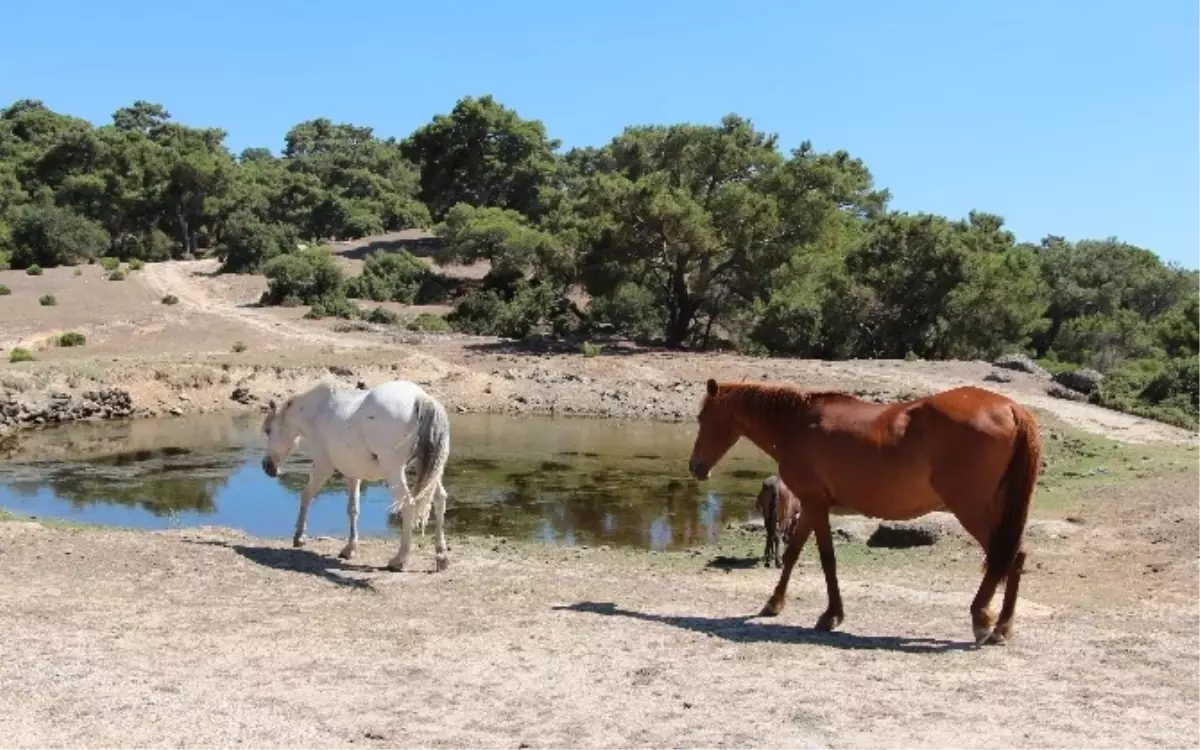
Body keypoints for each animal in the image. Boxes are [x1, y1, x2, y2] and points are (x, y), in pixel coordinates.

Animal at [260, 376, 451, 571]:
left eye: (268, 430)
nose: (267, 466)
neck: (319, 412)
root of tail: (421, 398)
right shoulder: (353, 473)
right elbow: (353, 509)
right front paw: (349, 548)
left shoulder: (323, 465)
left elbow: (306, 495)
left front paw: (299, 537)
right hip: (428, 470)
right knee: (439, 499)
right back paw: (441, 557)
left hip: (394, 471)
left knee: (408, 505)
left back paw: (399, 560)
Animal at [691, 379, 1046, 643]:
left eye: (702, 418)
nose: (696, 467)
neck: (798, 423)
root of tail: (1012, 408)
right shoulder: (812, 504)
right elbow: (793, 554)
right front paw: (774, 603)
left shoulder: (815, 503)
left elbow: (827, 559)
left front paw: (830, 614)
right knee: (1016, 556)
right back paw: (1002, 627)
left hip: (970, 508)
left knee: (1004, 556)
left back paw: (982, 621)